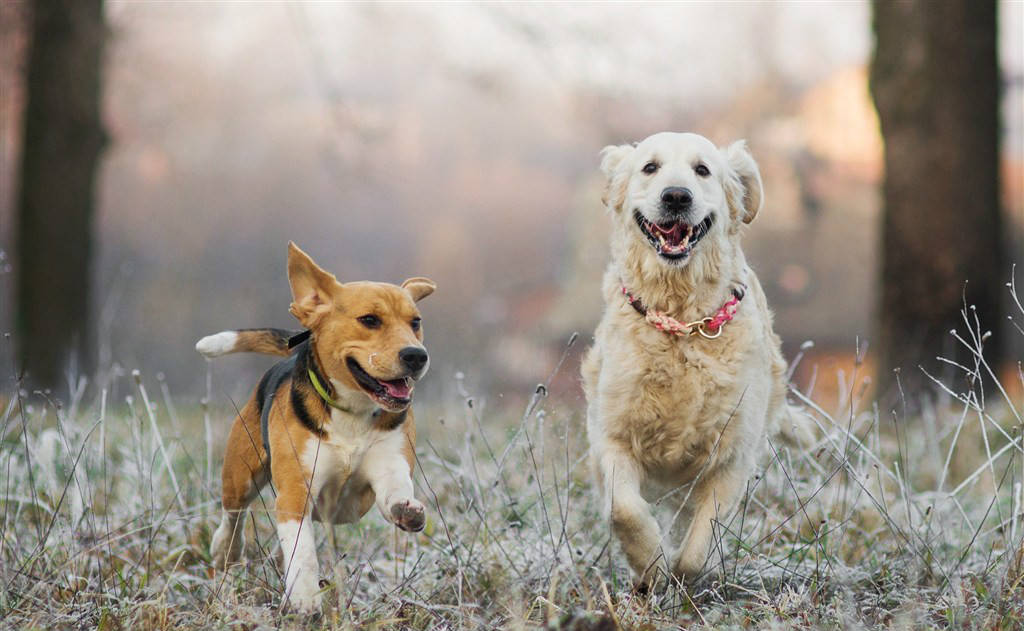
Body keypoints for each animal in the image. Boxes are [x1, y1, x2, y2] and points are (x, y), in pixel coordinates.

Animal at [197, 241, 434, 610]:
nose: (416, 355)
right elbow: (303, 552)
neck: (352, 413)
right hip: (240, 474)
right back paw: (225, 549)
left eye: (416, 322)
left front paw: (407, 510)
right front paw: (306, 598)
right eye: (369, 320)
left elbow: (395, 487)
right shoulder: (295, 492)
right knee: (233, 517)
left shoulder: (389, 461)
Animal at [581, 132, 811, 590]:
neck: (682, 323)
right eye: (650, 167)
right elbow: (624, 509)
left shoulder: (731, 456)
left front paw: (679, 573)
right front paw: (650, 566)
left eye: (702, 170)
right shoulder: (612, 435)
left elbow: (700, 545)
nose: (676, 196)